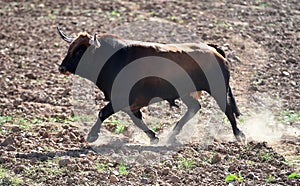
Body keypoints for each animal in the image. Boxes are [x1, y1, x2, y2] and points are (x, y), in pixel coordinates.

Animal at [56, 26, 246, 144]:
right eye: (70, 48)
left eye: (80, 50)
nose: (62, 68)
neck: (113, 59)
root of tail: (212, 49)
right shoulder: (130, 103)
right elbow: (136, 119)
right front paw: (153, 137)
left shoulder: (120, 100)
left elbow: (103, 113)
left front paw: (92, 136)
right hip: (187, 93)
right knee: (194, 107)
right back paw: (173, 134)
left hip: (218, 88)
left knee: (227, 109)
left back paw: (239, 134)